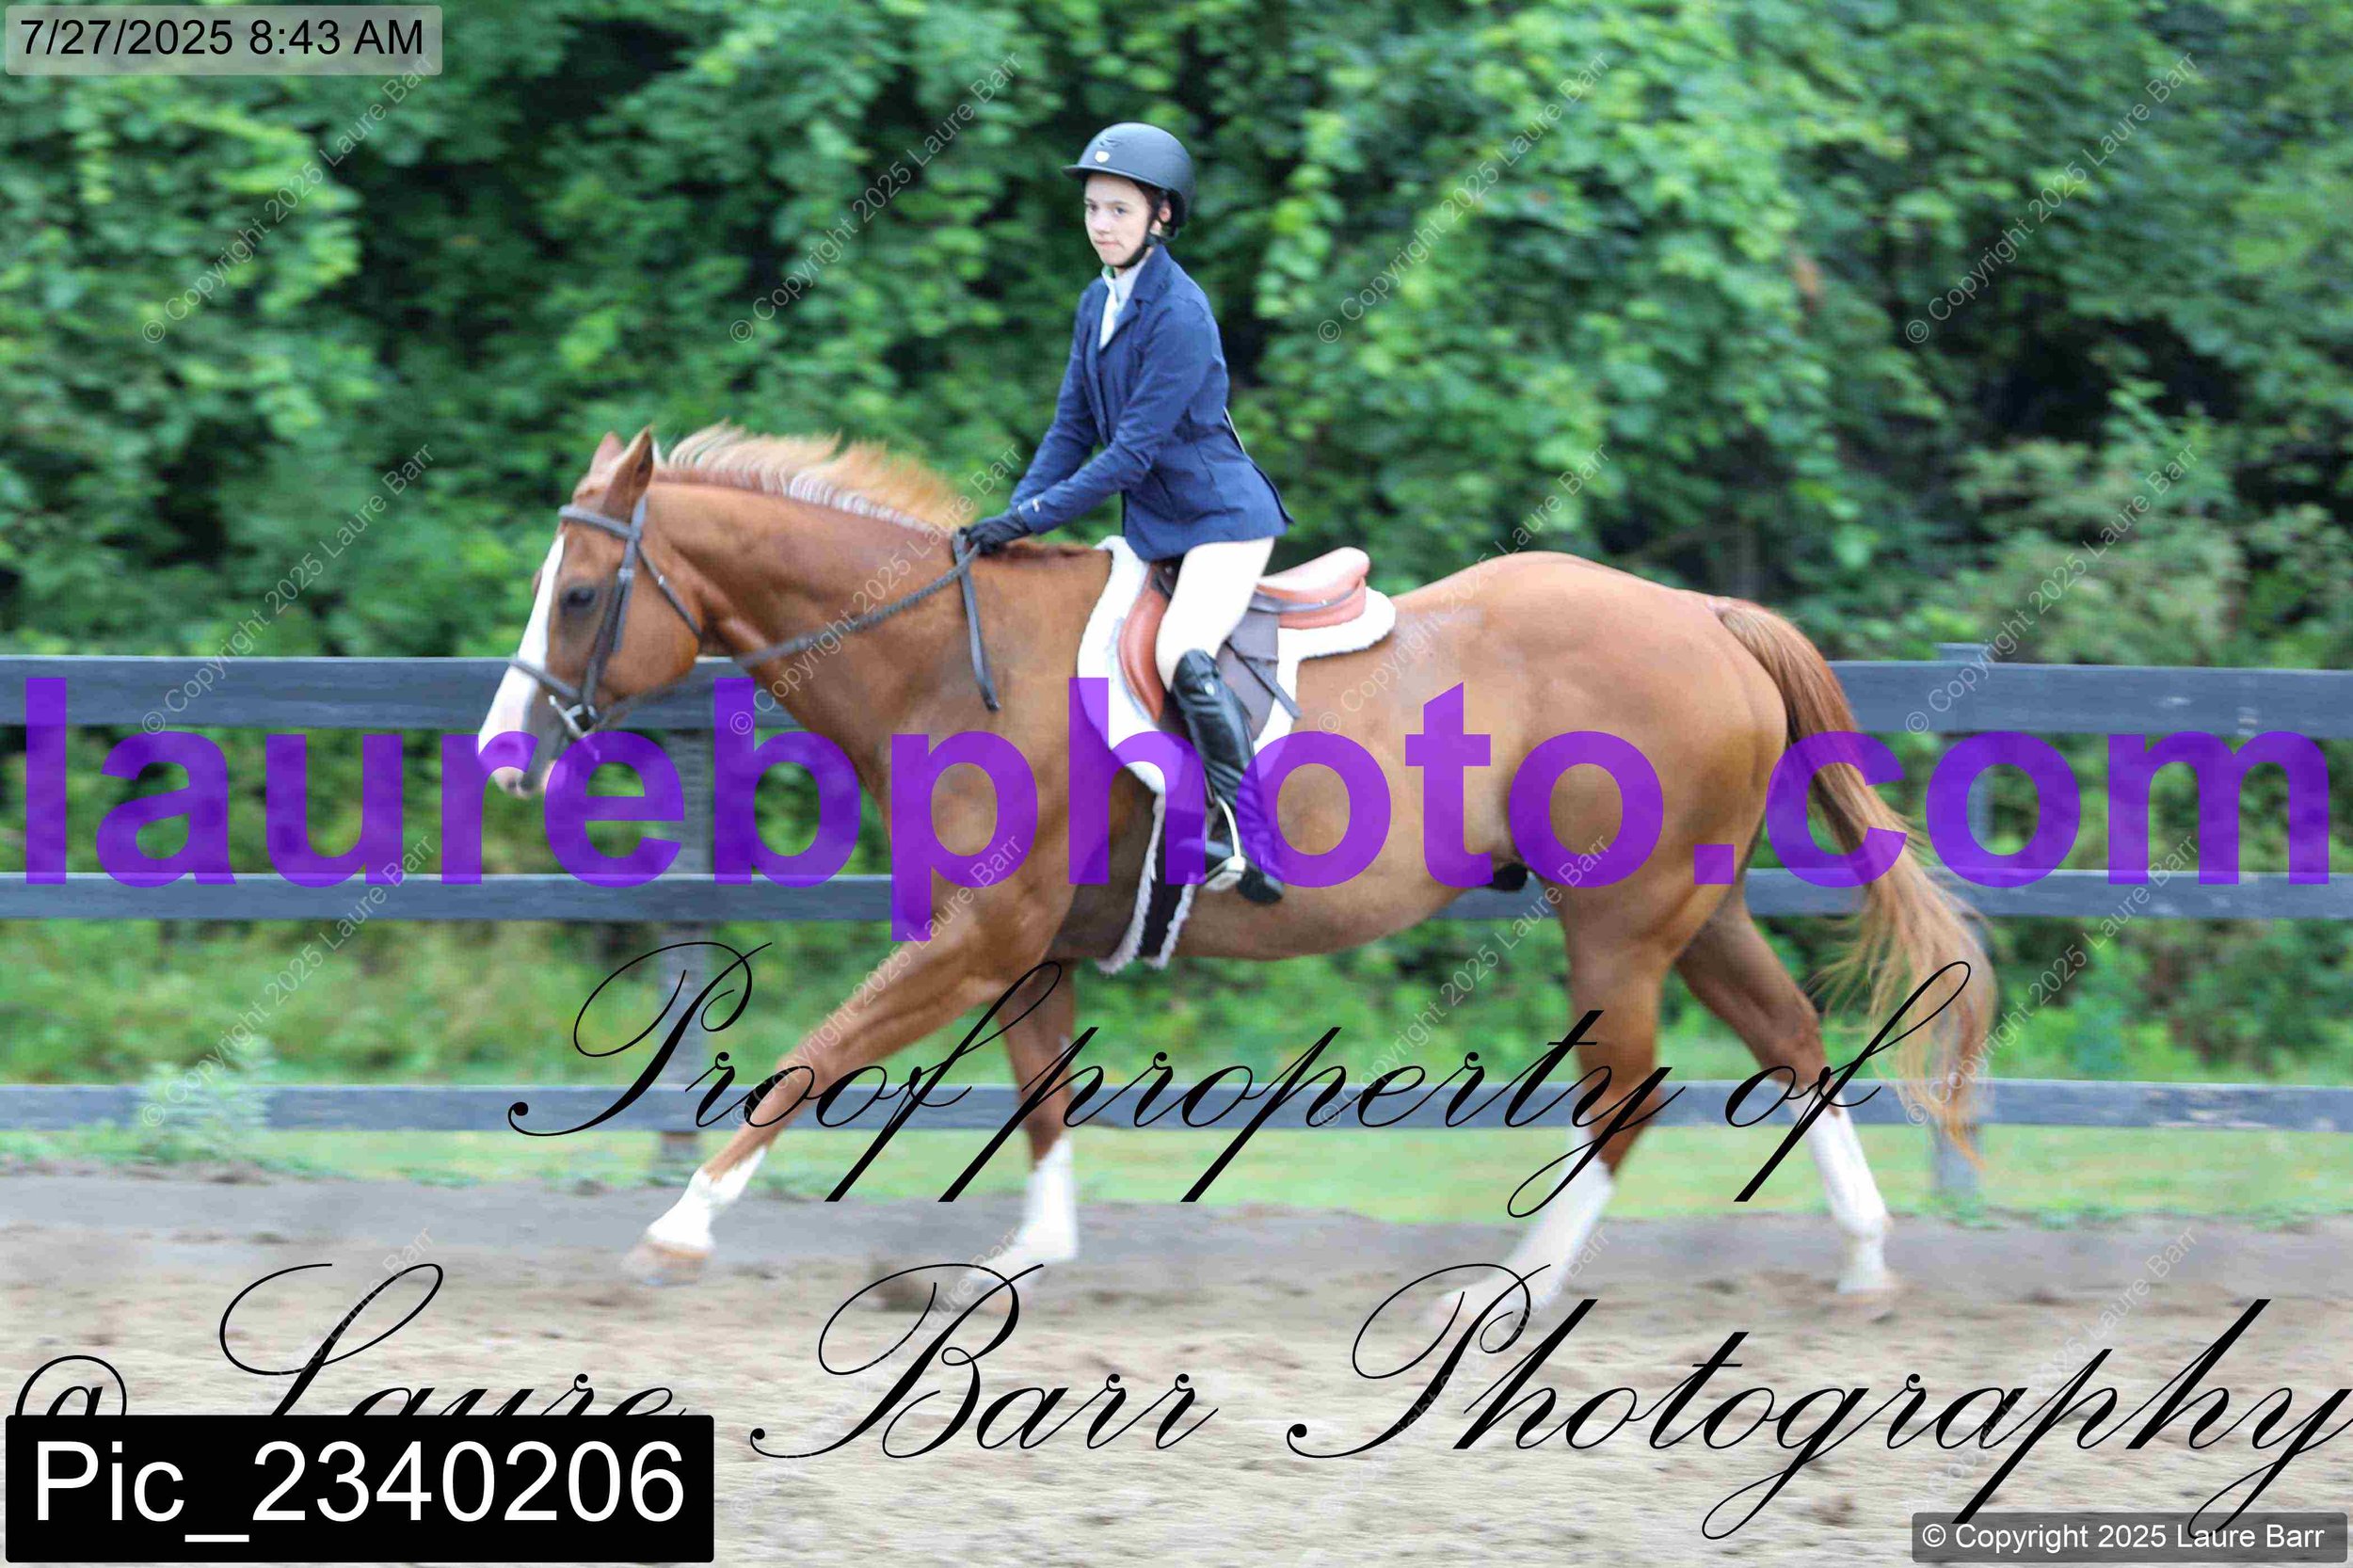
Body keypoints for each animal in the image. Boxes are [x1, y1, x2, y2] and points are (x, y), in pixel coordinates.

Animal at [476, 423, 1993, 1317]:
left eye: (580, 594)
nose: (502, 751)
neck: (945, 660)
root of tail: (1703, 615)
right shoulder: (1027, 947)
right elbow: (1040, 1099)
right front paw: (1018, 1263)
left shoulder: (972, 936)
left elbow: (812, 1057)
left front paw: (679, 1229)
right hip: (1693, 905)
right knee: (1792, 1040)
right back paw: (1864, 1258)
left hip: (1615, 928)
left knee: (1630, 1097)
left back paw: (1502, 1291)